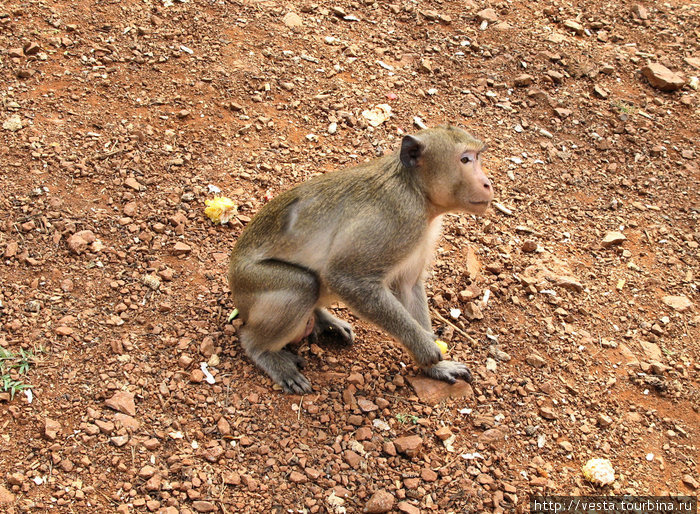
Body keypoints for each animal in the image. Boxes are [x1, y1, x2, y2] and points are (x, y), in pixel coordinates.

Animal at [228, 125, 492, 392]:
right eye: (465, 160)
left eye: (477, 157)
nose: (487, 183)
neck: (416, 190)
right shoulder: (398, 220)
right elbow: (345, 277)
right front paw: (425, 349)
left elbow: (407, 286)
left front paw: (435, 366)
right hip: (249, 283)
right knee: (302, 286)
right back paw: (261, 350)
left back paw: (323, 318)